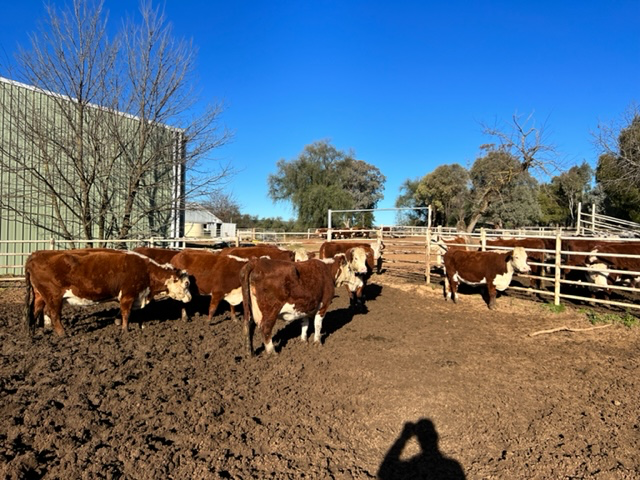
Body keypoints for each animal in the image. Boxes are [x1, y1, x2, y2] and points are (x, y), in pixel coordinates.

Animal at [25, 249, 192, 336]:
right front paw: (125, 330)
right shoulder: (128, 295)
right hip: (53, 296)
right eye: (186, 283)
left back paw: (31, 332)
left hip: (40, 295)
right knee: (53, 314)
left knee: (35, 310)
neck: (146, 271)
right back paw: (63, 334)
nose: (190, 298)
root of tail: (36, 254)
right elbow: (126, 313)